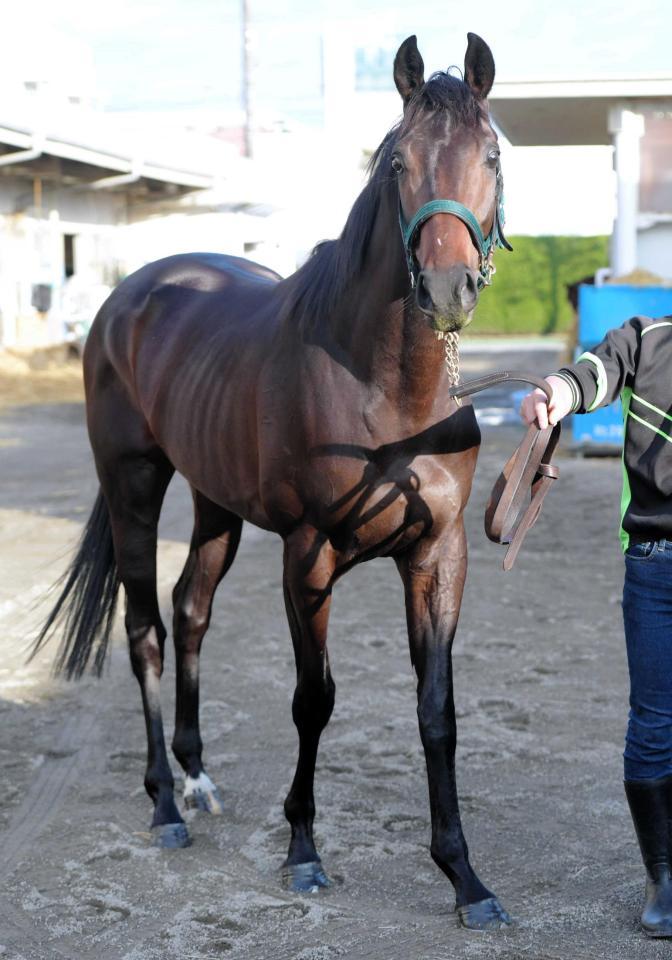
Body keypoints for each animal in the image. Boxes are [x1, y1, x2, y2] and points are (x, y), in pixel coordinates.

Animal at [34, 33, 512, 928]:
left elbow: (437, 710)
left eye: (493, 155)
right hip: (134, 488)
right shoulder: (308, 554)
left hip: (214, 502)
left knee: (190, 610)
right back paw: (165, 803)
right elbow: (312, 698)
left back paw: (196, 776)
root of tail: (130, 295)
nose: (446, 289)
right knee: (145, 628)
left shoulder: (439, 554)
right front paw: (303, 852)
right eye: (397, 161)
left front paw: (466, 877)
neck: (386, 391)